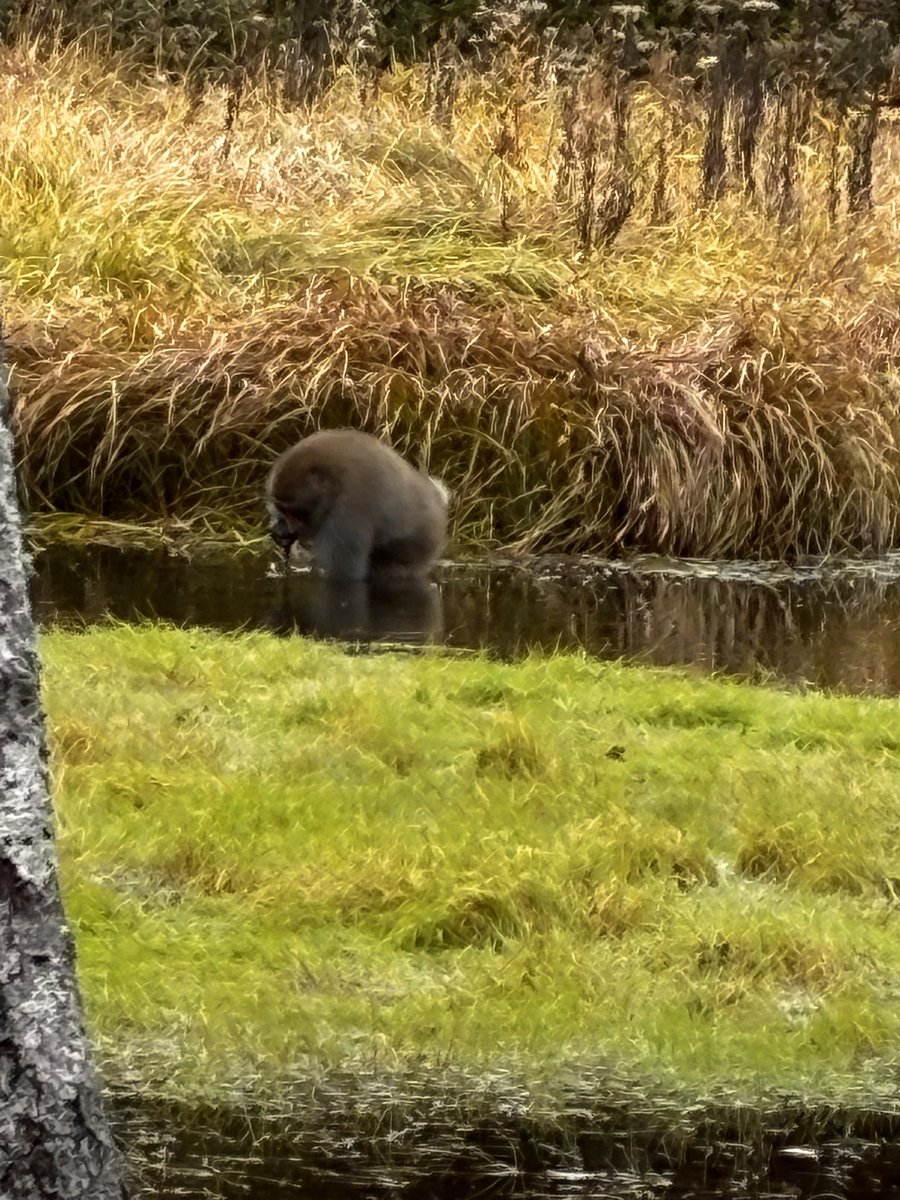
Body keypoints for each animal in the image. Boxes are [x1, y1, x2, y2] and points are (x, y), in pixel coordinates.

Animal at [266, 429, 449, 582]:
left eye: (290, 510)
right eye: (279, 508)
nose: (278, 528)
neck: (333, 485)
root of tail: (437, 499)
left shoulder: (348, 508)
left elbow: (343, 573)